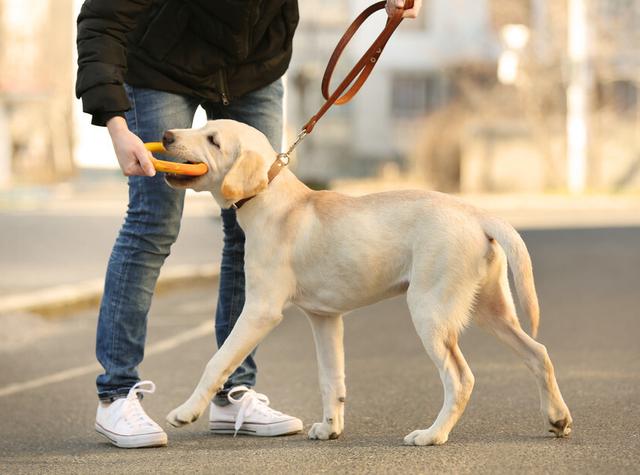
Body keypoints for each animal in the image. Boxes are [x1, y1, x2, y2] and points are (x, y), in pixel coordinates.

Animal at [162, 119, 572, 446]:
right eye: (202, 127)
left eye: (213, 139)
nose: (166, 136)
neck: (274, 199)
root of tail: (477, 213)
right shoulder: (324, 318)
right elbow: (332, 379)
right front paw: (330, 428)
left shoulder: (261, 311)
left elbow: (217, 362)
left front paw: (185, 411)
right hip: (489, 310)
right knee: (539, 353)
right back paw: (558, 418)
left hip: (430, 312)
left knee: (461, 379)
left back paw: (432, 435)